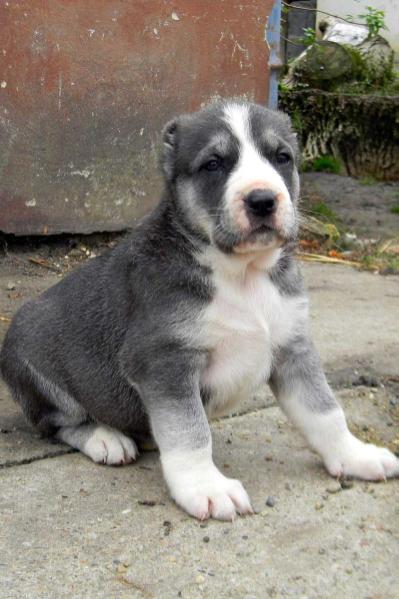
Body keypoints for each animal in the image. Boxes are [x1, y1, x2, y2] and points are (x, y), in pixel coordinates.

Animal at [1, 102, 398, 520]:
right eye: (213, 164)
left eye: (282, 157)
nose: (262, 200)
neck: (242, 274)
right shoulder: (165, 362)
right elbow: (189, 432)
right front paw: (206, 487)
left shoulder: (294, 349)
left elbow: (325, 411)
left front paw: (355, 455)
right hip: (32, 363)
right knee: (60, 423)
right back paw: (106, 438)